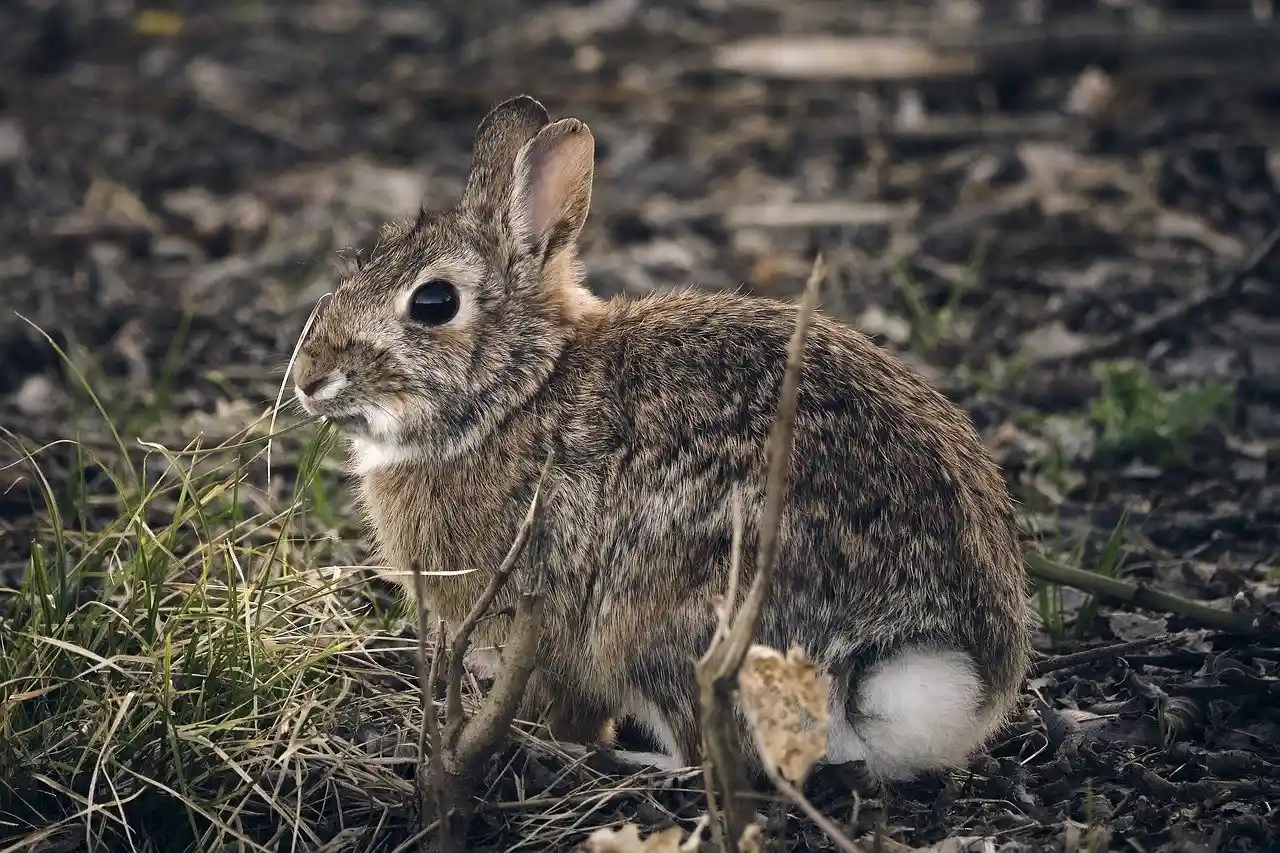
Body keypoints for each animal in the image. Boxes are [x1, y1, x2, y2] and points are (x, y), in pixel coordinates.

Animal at [290, 96, 1029, 778]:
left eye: (434, 303)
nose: (309, 378)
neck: (520, 390)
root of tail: (910, 657)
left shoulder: (541, 626)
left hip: (662, 622)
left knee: (707, 752)